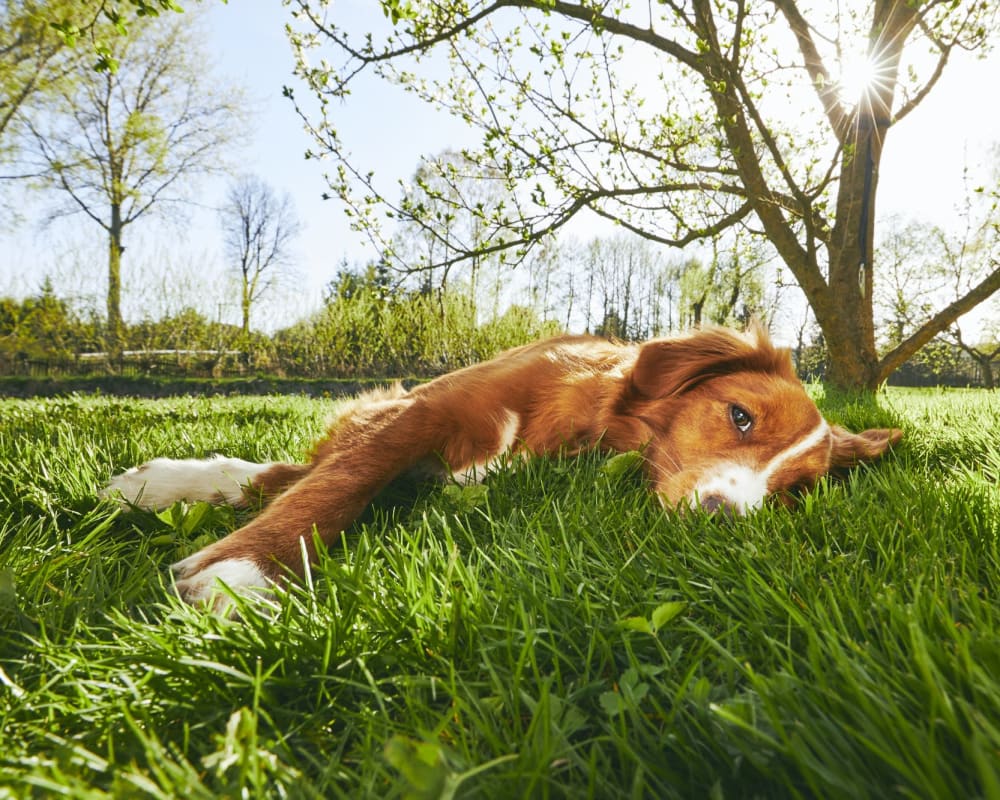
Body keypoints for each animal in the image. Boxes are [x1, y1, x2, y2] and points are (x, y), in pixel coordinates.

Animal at [103, 324, 908, 608]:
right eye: (740, 416)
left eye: (793, 494)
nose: (724, 518)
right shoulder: (419, 413)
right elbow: (337, 484)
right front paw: (246, 568)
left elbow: (318, 482)